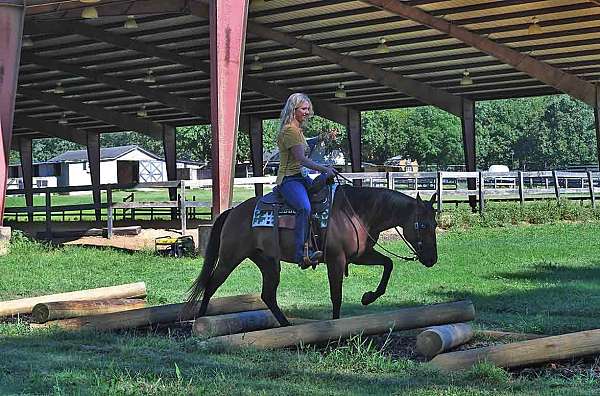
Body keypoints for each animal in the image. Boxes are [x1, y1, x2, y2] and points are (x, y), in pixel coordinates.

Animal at [185, 186, 438, 324]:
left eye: (435, 224)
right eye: (423, 225)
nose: (432, 259)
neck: (354, 213)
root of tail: (233, 211)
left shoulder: (360, 255)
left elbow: (388, 264)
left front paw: (368, 297)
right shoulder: (336, 260)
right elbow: (336, 296)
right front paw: (335, 325)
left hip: (268, 262)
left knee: (268, 295)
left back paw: (286, 325)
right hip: (230, 258)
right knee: (211, 284)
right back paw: (200, 320)